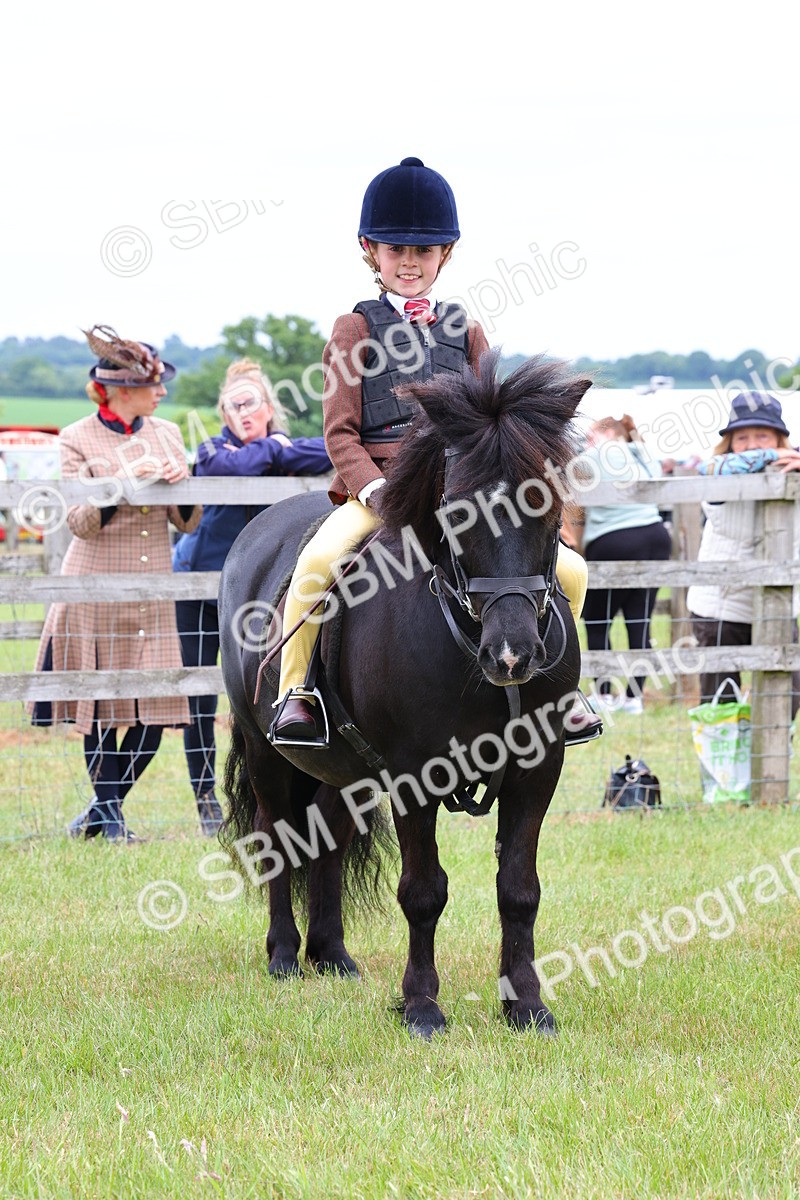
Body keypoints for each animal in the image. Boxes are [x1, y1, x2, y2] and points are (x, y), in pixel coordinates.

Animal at [218, 351, 590, 1038]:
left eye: (547, 504)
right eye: (457, 509)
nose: (512, 655)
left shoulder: (537, 768)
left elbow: (519, 888)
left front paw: (526, 1004)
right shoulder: (415, 774)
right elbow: (423, 891)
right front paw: (421, 1006)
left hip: (347, 771)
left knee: (329, 837)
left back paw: (332, 955)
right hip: (266, 751)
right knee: (278, 839)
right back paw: (284, 956)